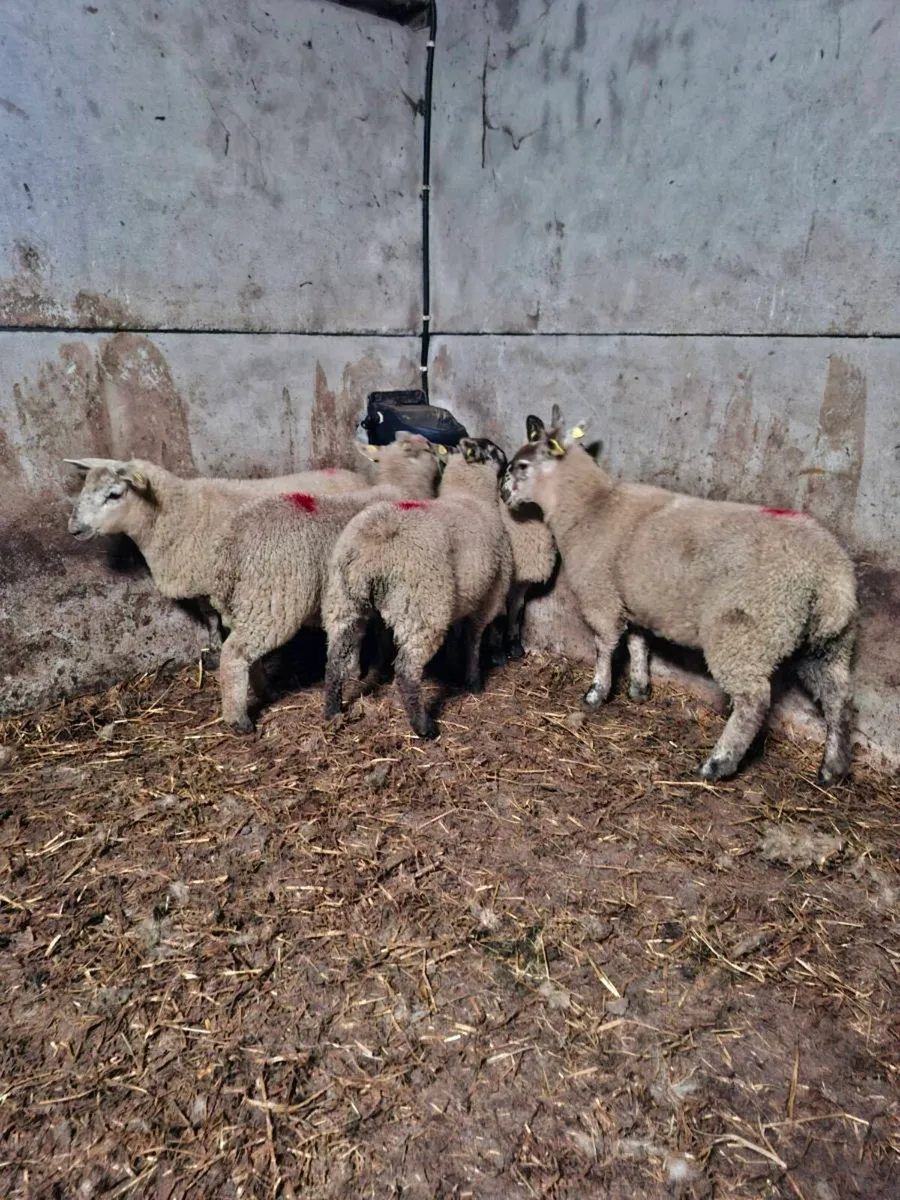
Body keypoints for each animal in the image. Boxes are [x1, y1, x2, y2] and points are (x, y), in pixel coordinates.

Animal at [67, 434, 442, 730]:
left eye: (114, 494)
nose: (73, 529)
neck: (177, 512)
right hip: (270, 602)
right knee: (237, 653)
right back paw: (240, 719)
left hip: (251, 602)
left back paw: (261, 692)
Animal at [322, 437, 513, 739]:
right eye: (494, 450)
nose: (509, 460)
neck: (471, 496)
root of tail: (376, 542)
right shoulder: (490, 595)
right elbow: (473, 640)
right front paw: (473, 681)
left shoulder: (463, 596)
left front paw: (453, 664)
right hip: (423, 605)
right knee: (407, 669)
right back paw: (423, 726)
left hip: (345, 599)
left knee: (335, 659)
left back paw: (332, 710)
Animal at [500, 410, 858, 784]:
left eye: (520, 466)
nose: (503, 493)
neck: (591, 506)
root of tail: (829, 576)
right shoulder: (634, 600)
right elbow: (638, 644)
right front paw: (639, 689)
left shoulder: (601, 596)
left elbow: (605, 646)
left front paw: (596, 693)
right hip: (827, 643)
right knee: (839, 700)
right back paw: (832, 769)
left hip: (746, 631)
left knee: (754, 700)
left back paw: (717, 764)